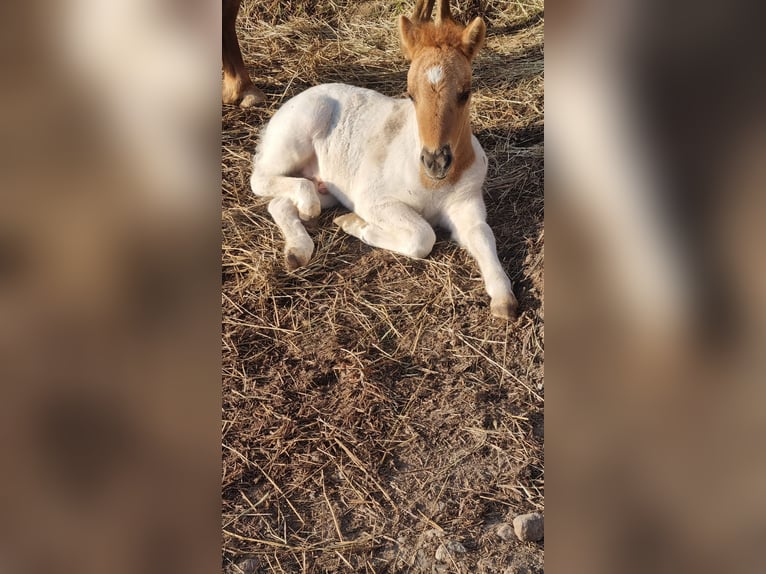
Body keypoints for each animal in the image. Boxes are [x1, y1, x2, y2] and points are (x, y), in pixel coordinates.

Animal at [252, 2, 520, 322]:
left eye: (465, 93)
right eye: (410, 94)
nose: (436, 162)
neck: (432, 183)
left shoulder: (465, 204)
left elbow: (482, 235)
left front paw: (504, 299)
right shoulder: (375, 200)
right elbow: (422, 237)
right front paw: (356, 224)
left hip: (325, 187)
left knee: (279, 202)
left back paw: (297, 250)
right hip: (296, 136)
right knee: (261, 179)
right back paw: (307, 212)